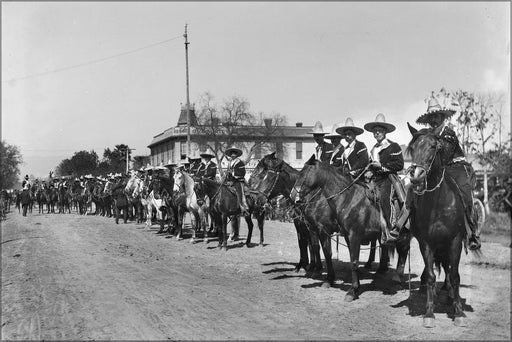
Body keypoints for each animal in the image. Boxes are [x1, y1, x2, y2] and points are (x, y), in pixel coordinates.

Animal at [290, 156, 410, 302]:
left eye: (303, 173)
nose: (292, 196)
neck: (348, 199)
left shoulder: (351, 235)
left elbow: (353, 261)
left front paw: (352, 291)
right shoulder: (344, 235)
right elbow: (337, 256)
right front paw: (334, 281)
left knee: (405, 250)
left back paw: (399, 279)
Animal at [406, 124, 478, 328]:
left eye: (433, 147)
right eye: (412, 148)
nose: (416, 176)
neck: (438, 204)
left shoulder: (454, 241)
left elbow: (455, 276)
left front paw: (459, 312)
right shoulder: (427, 243)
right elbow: (431, 276)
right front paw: (429, 313)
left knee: (449, 271)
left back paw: (452, 296)